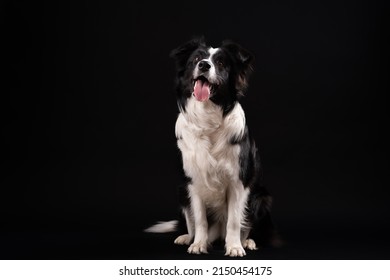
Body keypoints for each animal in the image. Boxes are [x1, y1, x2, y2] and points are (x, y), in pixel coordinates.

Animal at [145, 37, 276, 258]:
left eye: (221, 63)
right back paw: (187, 237)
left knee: (245, 224)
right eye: (196, 59)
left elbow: (234, 220)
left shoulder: (238, 182)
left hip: (262, 197)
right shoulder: (192, 181)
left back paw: (247, 241)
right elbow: (199, 220)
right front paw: (198, 244)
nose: (204, 65)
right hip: (181, 192)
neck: (208, 117)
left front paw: (234, 247)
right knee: (191, 224)